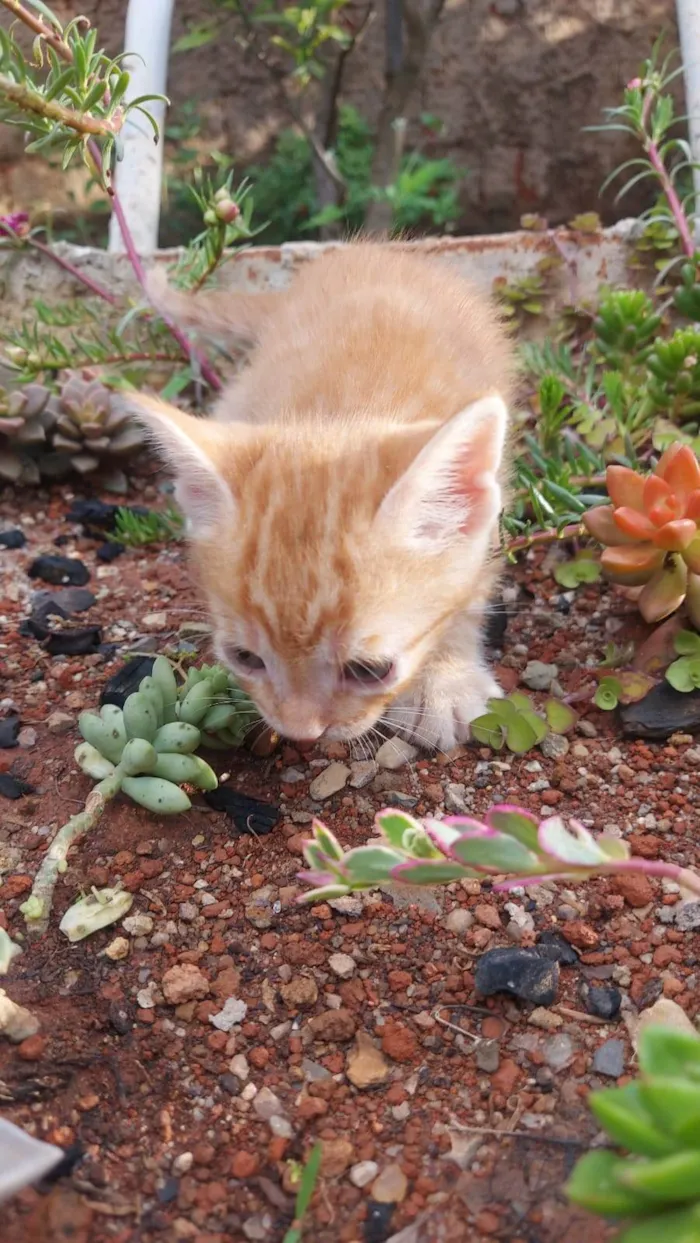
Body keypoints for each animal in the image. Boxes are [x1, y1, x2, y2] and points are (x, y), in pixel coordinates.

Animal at [129, 239, 514, 745]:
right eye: (243, 658)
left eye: (370, 670)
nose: (301, 731)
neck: (344, 405)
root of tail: (363, 251)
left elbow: (469, 591)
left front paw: (444, 679)